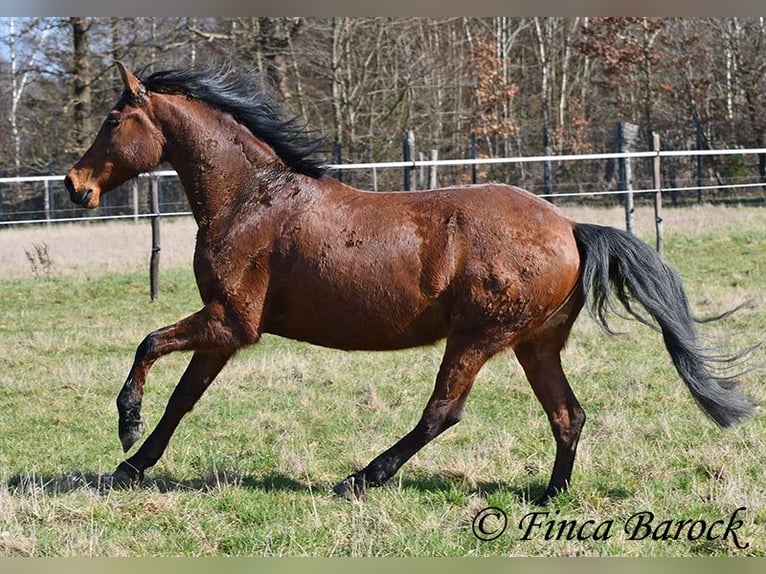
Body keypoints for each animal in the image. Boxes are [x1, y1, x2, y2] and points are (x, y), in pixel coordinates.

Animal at [64, 62, 756, 504]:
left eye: (112, 119)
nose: (75, 185)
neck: (251, 198)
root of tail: (568, 227)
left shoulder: (232, 321)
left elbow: (149, 344)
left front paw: (126, 427)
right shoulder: (225, 330)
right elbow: (183, 397)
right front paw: (131, 465)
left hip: (477, 337)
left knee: (443, 412)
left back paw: (360, 479)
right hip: (534, 344)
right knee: (568, 415)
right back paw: (548, 498)